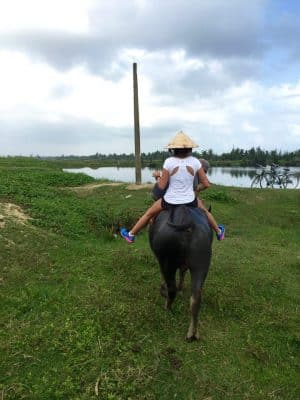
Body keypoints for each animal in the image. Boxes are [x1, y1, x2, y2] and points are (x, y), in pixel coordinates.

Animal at [149, 206, 212, 340]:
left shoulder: (160, 259)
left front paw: (163, 288)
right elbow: (182, 272)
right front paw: (181, 287)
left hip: (167, 262)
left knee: (172, 289)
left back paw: (167, 306)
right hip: (202, 263)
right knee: (196, 297)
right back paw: (192, 333)